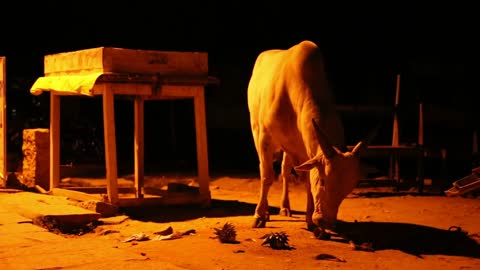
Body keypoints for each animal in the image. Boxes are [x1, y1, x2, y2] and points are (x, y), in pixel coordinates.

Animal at [248, 40, 364, 236]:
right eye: (323, 181)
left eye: (347, 190)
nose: (326, 222)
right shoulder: (265, 138)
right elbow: (267, 176)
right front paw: (259, 216)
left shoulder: (305, 150)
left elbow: (307, 181)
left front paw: (310, 221)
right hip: (256, 130)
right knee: (266, 169)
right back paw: (268, 212)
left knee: (285, 171)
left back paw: (285, 207)